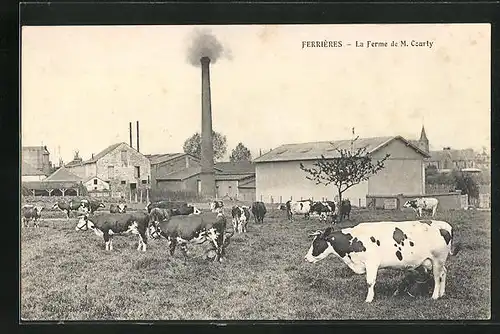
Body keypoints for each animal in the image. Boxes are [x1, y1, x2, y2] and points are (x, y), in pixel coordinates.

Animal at [302, 219, 458, 302]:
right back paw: (442, 293)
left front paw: (369, 299)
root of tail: (445, 225)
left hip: (438, 259)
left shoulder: (371, 263)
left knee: (437, 277)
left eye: (316, 244)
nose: (306, 258)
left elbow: (370, 282)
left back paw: (435, 296)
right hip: (431, 261)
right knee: (444, 273)